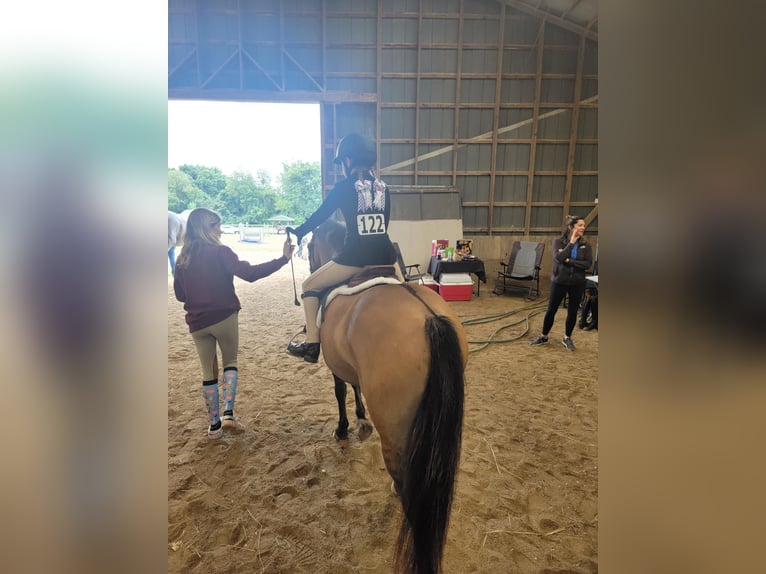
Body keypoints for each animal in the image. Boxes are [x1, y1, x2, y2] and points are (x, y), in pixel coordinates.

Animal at [308, 222, 472, 574]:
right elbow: (354, 387)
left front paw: (343, 428)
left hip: (395, 431)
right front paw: (359, 417)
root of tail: (429, 319)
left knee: (406, 479)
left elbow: (340, 390)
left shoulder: (334, 365)